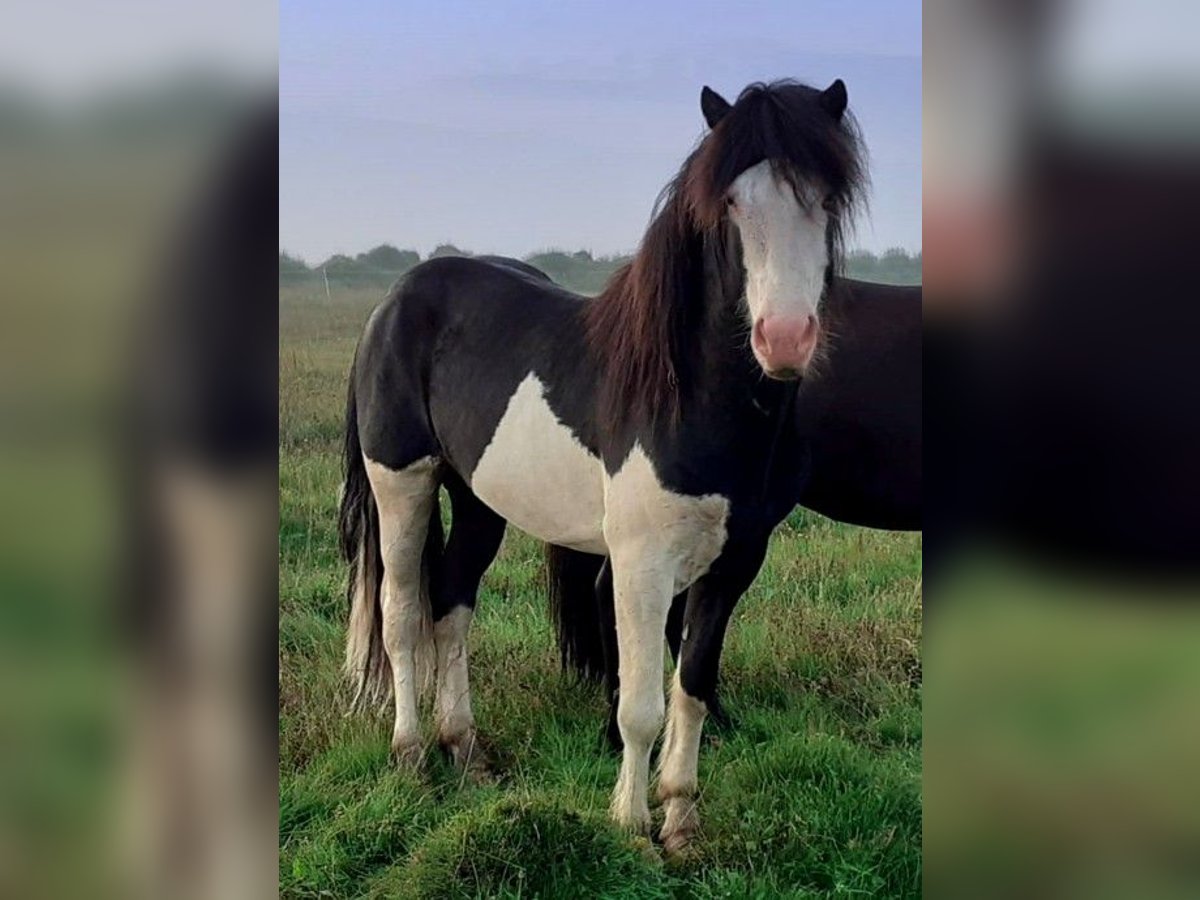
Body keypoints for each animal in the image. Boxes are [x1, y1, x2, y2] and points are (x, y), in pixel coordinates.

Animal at [338, 79, 868, 851]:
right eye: (729, 203)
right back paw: (410, 754)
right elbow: (641, 705)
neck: (692, 398)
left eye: (826, 199)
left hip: (478, 499)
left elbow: (693, 690)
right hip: (401, 482)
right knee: (403, 610)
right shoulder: (641, 564)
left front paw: (681, 821)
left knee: (453, 604)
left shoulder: (736, 561)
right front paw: (629, 824)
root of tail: (397, 298)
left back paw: (464, 748)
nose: (785, 339)